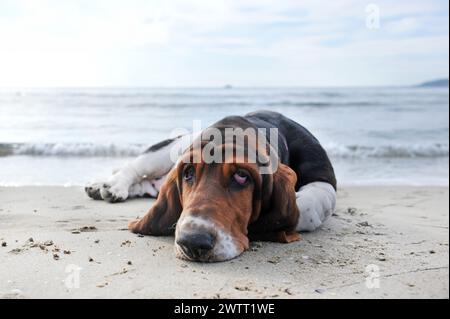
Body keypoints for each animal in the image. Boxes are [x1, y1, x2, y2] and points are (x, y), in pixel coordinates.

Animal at [86, 111, 336, 262]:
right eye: (188, 173)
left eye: (242, 176)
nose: (192, 242)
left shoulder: (324, 179)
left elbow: (305, 208)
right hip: (171, 148)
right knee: (134, 168)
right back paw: (110, 186)